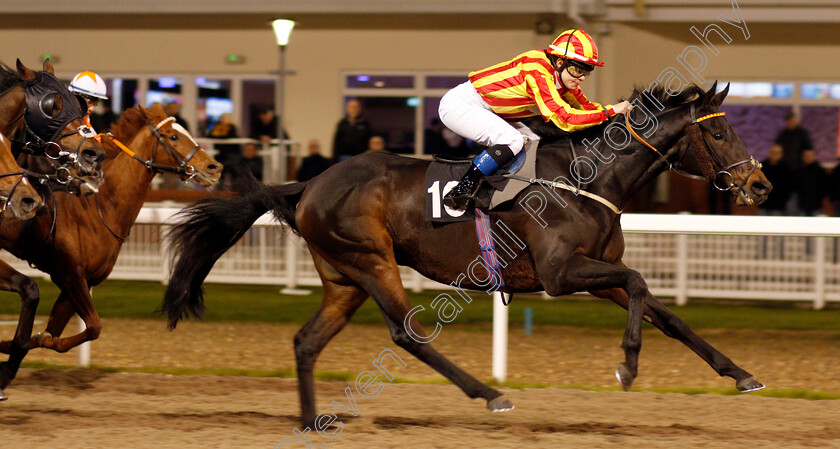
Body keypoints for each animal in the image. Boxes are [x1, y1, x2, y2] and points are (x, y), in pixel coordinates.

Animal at [0, 103, 221, 398]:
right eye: (173, 136)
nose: (214, 167)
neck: (100, 208)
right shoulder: (68, 274)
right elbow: (92, 326)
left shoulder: (82, 280)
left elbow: (52, 335)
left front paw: (19, 344)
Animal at [166, 83, 776, 424]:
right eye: (718, 134)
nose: (761, 185)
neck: (588, 178)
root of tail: (310, 182)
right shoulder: (561, 273)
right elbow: (641, 283)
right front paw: (627, 365)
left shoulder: (596, 272)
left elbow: (664, 311)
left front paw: (741, 374)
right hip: (372, 259)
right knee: (405, 333)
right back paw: (489, 394)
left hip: (343, 278)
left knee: (306, 341)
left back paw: (313, 420)